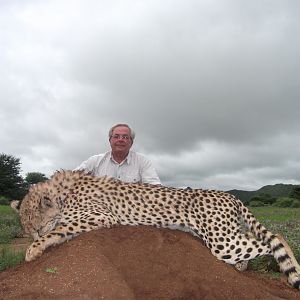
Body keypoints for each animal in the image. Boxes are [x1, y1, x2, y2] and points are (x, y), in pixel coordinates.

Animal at [11, 170, 300, 290]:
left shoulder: (101, 217)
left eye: (38, 227)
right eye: (27, 229)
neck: (63, 193)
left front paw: (34, 249)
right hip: (225, 237)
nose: (35, 235)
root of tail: (231, 195)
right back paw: (242, 267)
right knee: (253, 241)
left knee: (275, 237)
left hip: (222, 243)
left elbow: (59, 230)